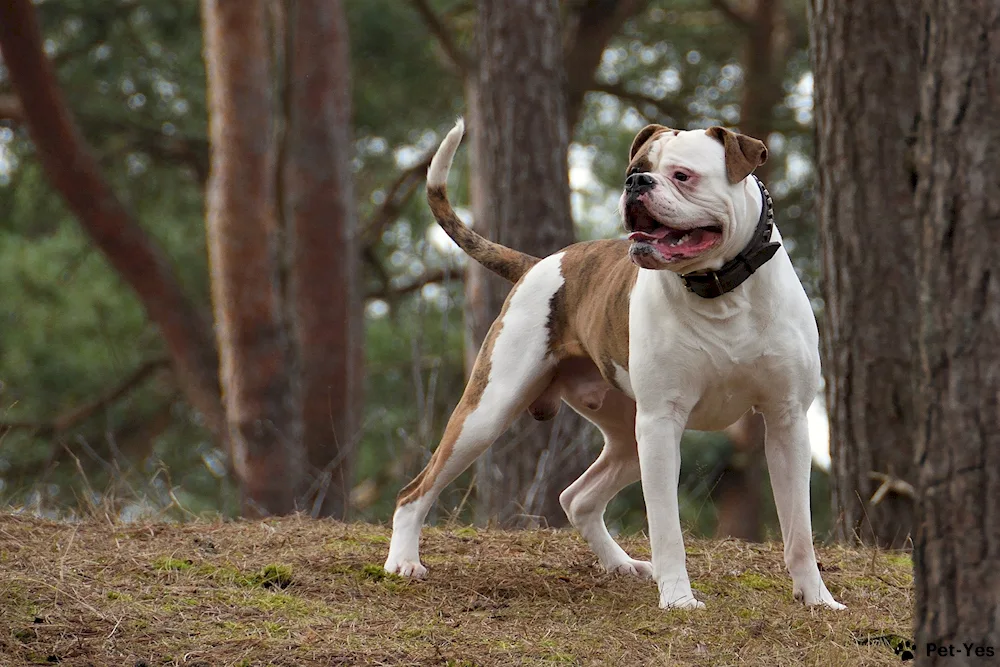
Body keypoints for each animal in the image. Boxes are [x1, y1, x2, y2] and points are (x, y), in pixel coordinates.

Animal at [382, 118, 844, 612]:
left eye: (683, 176)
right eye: (634, 169)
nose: (636, 183)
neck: (721, 291)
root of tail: (540, 263)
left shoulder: (787, 421)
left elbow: (799, 530)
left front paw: (817, 599)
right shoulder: (661, 423)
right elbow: (666, 528)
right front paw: (678, 599)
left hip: (626, 440)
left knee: (577, 498)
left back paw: (621, 564)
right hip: (488, 413)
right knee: (414, 492)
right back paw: (403, 562)